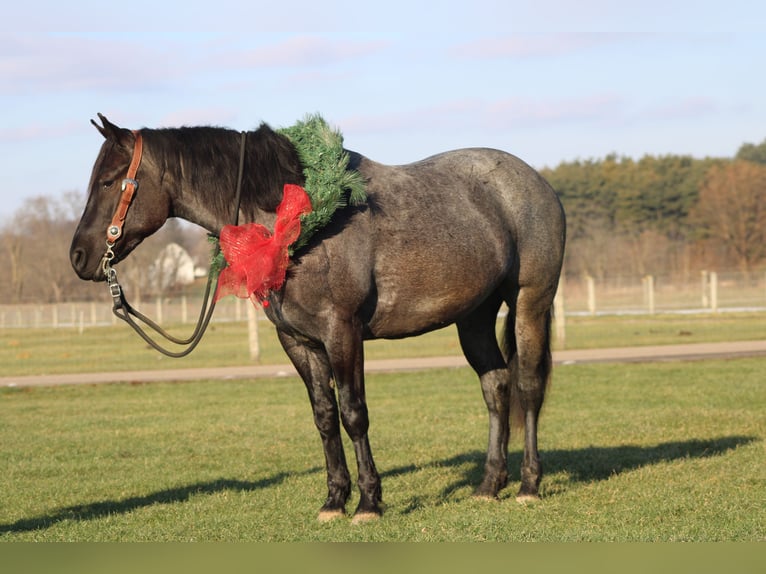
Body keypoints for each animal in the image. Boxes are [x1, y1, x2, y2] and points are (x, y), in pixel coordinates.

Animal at [70, 114, 566, 522]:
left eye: (110, 181)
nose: (79, 256)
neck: (292, 217)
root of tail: (535, 182)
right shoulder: (299, 341)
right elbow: (324, 416)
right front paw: (334, 500)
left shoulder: (342, 332)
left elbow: (353, 413)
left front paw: (368, 503)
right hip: (474, 317)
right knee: (496, 386)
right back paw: (489, 485)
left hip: (529, 304)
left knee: (528, 387)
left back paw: (529, 484)